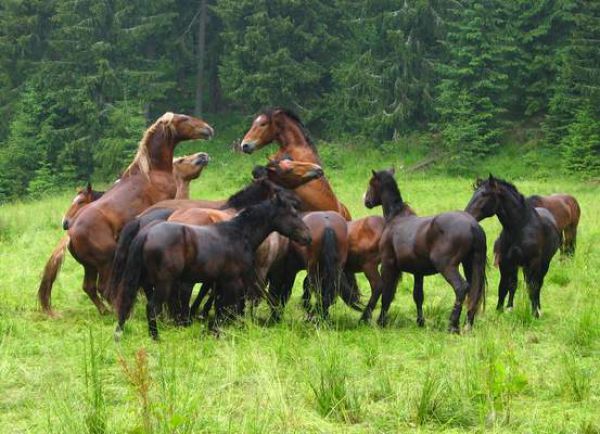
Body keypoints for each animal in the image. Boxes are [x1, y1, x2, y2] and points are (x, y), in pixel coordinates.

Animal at [38, 112, 214, 316]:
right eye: (184, 118)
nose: (208, 129)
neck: (152, 172)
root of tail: (71, 233)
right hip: (106, 261)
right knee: (104, 287)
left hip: (90, 266)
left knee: (89, 287)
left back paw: (106, 311)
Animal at [113, 193, 312, 340]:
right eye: (293, 214)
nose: (308, 237)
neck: (238, 234)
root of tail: (146, 232)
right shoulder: (233, 281)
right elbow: (227, 307)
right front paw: (219, 332)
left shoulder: (221, 281)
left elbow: (221, 306)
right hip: (164, 283)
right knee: (152, 308)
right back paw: (156, 338)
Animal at [360, 170, 488, 332]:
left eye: (371, 183)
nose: (366, 201)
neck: (396, 218)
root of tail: (472, 225)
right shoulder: (418, 272)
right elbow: (418, 296)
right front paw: (420, 322)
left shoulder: (388, 265)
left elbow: (387, 293)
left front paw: (381, 322)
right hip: (471, 265)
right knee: (474, 292)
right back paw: (467, 325)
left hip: (447, 266)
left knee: (461, 288)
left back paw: (452, 325)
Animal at [464, 175, 564, 318]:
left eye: (484, 194)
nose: (467, 214)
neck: (519, 227)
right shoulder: (505, 262)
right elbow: (504, 287)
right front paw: (499, 310)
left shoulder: (533, 263)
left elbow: (532, 287)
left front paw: (535, 313)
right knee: (515, 284)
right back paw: (510, 307)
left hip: (544, 263)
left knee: (538, 284)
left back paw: (538, 307)